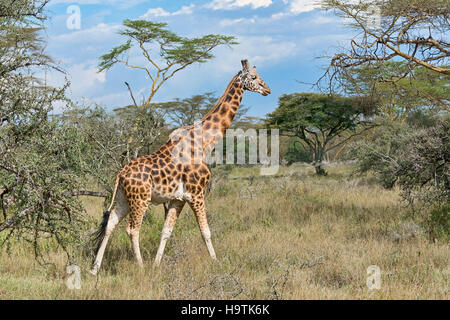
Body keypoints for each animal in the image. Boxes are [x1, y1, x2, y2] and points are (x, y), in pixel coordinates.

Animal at [89, 58, 268, 274]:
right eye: (254, 77)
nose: (267, 89)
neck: (205, 141)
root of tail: (120, 174)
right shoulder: (197, 193)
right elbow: (206, 231)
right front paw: (216, 262)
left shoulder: (178, 199)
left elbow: (166, 231)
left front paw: (157, 264)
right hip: (140, 199)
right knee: (132, 229)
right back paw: (140, 267)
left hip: (124, 199)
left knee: (110, 224)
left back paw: (94, 269)